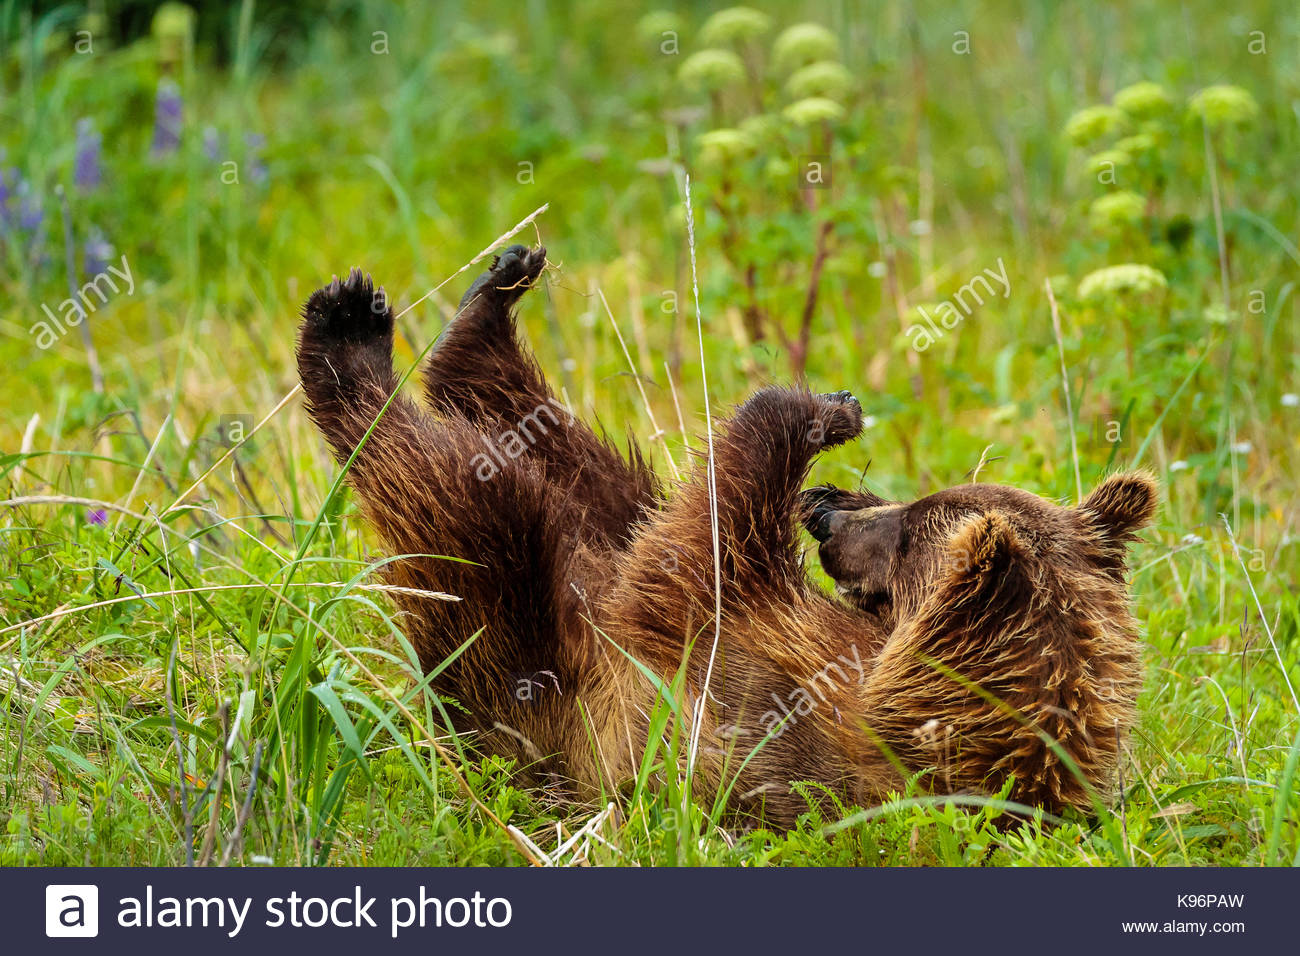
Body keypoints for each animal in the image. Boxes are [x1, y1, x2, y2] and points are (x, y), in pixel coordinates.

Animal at [297, 247, 1159, 832]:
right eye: (921, 503)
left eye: (911, 532)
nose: (828, 518)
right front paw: (830, 443)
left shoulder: (779, 689)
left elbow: (695, 554)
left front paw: (816, 410)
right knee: (583, 470)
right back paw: (484, 303)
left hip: (537, 693)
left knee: (467, 507)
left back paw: (349, 335)